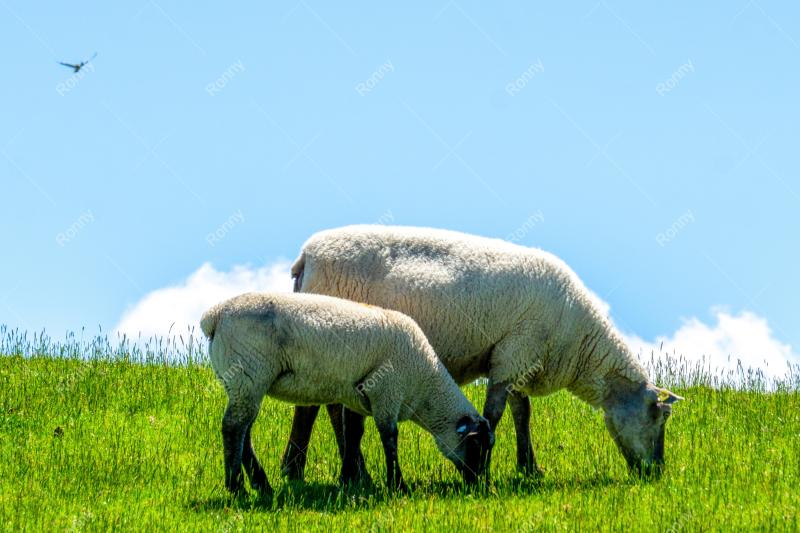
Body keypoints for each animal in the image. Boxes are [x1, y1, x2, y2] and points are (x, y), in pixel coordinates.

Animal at [200, 291, 494, 494]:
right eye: (477, 445)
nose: (480, 485)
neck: (424, 386)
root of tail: (215, 316)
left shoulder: (357, 398)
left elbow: (353, 435)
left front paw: (349, 481)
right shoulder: (387, 391)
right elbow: (389, 438)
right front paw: (397, 485)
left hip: (243, 382)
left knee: (244, 433)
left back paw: (262, 486)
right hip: (249, 373)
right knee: (233, 428)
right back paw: (236, 488)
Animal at [281, 225, 684, 481]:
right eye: (658, 418)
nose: (656, 473)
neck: (578, 341)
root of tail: (306, 256)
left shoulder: (520, 358)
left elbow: (523, 413)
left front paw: (529, 468)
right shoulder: (513, 354)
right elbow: (497, 414)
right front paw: (490, 467)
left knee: (331, 407)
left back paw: (345, 471)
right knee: (313, 409)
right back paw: (303, 470)